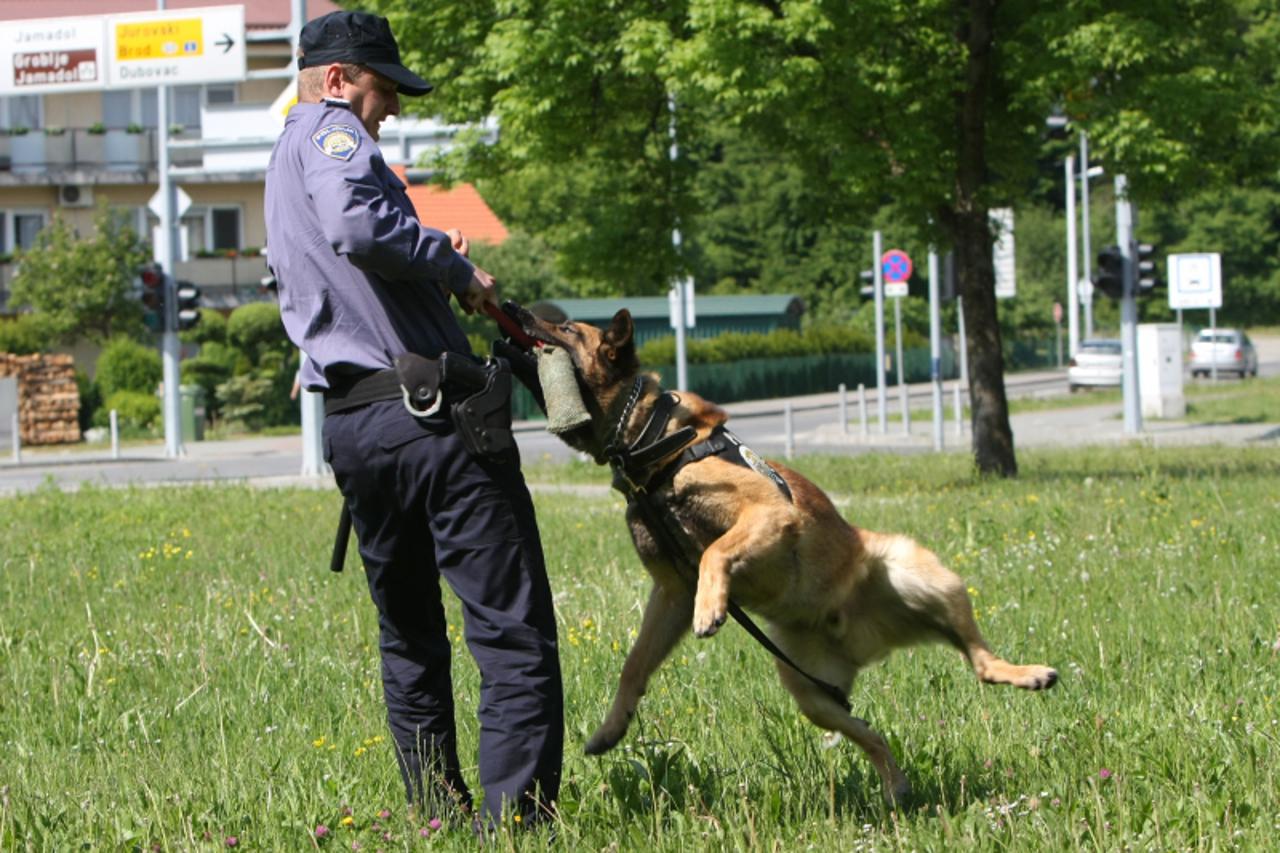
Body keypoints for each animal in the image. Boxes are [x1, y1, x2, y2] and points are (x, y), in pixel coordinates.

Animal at [514, 307, 1054, 804]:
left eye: (567, 330)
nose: (518, 309)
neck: (653, 443)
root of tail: (857, 638)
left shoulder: (769, 514)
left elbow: (714, 552)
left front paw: (711, 609)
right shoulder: (670, 593)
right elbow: (635, 664)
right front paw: (612, 727)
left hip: (922, 573)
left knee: (980, 660)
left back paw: (1027, 673)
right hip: (809, 693)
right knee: (873, 734)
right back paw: (896, 786)